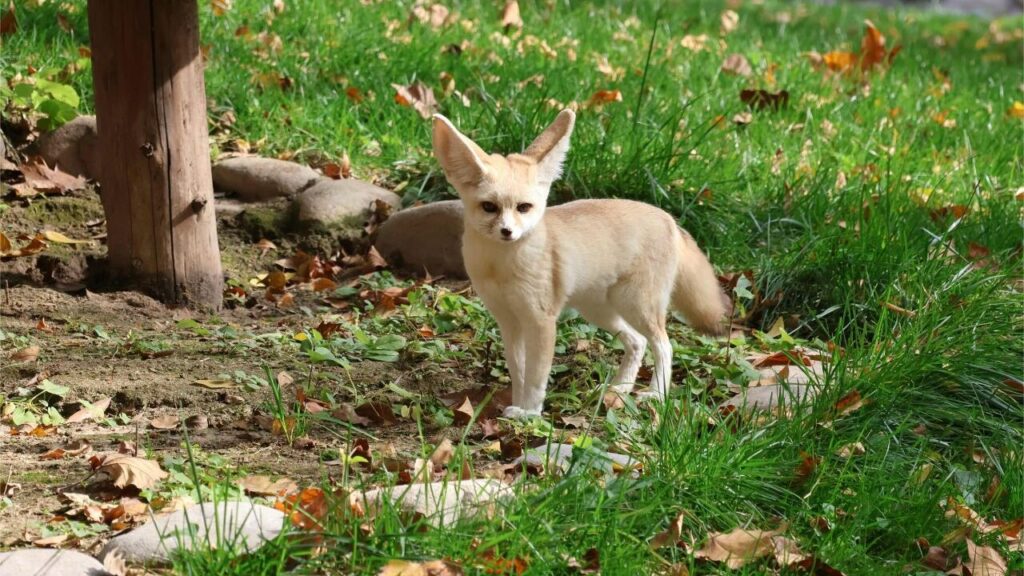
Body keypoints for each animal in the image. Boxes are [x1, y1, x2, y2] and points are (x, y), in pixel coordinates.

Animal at [432, 110, 731, 419]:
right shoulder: (508, 321)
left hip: (636, 306)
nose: (507, 232)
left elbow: (536, 377)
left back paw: (656, 394)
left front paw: (530, 414)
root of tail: (669, 218)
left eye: (523, 207)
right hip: (600, 311)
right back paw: (619, 389)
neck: (500, 268)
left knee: (664, 345)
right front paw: (517, 404)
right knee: (638, 342)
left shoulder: (541, 321)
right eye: (489, 207)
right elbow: (519, 372)